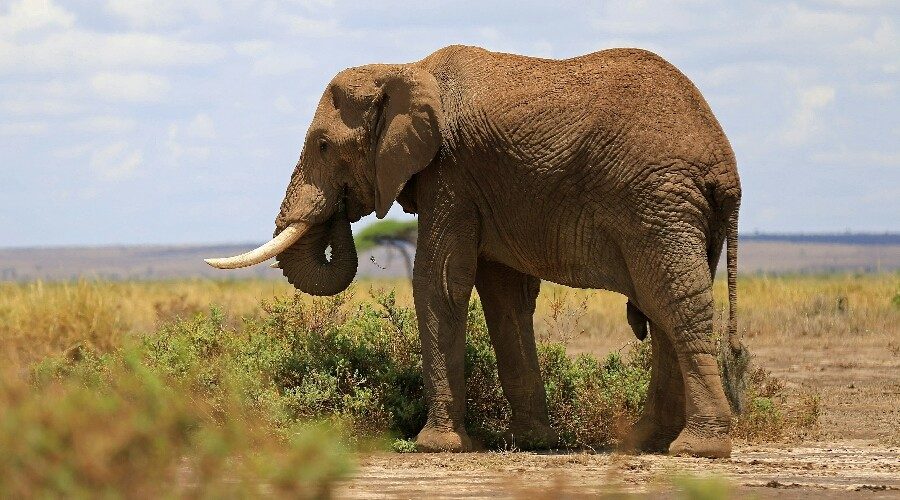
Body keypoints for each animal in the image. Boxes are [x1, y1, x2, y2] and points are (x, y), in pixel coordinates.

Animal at [205, 45, 742, 458]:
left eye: (321, 145)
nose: (340, 208)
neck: (406, 68)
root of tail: (725, 166)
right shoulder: (482, 186)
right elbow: (504, 295)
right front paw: (534, 443)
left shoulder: (451, 170)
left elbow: (440, 279)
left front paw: (435, 446)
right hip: (681, 210)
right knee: (663, 306)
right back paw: (643, 444)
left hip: (658, 202)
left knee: (674, 302)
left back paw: (698, 449)